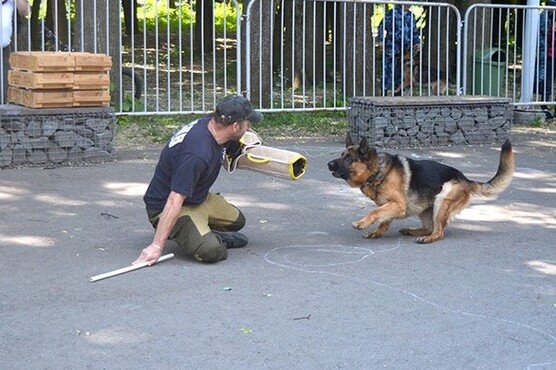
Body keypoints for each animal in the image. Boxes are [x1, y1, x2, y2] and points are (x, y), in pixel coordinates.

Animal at [328, 136, 516, 243]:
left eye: (349, 158)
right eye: (342, 155)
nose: (329, 164)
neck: (377, 171)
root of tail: (465, 179)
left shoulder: (398, 205)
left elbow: (374, 212)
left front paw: (361, 223)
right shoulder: (392, 206)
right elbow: (383, 220)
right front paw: (376, 232)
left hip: (442, 200)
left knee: (438, 232)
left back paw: (428, 239)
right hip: (424, 209)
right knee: (429, 227)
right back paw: (411, 230)